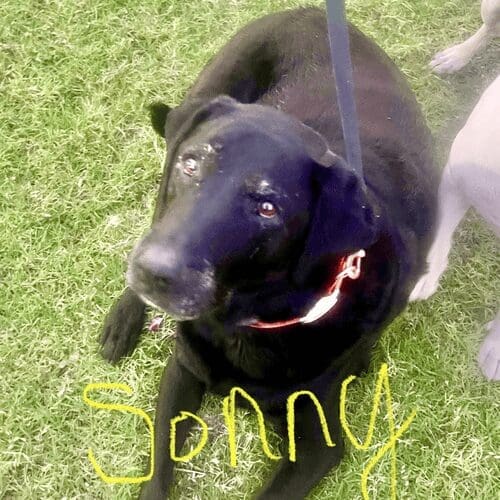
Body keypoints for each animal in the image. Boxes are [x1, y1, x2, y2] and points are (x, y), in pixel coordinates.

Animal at [100, 7, 437, 499]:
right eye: (191, 164)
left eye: (268, 207)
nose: (154, 272)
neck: (246, 322)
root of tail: (308, 10)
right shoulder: (182, 370)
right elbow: (158, 475)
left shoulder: (318, 442)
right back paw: (123, 319)